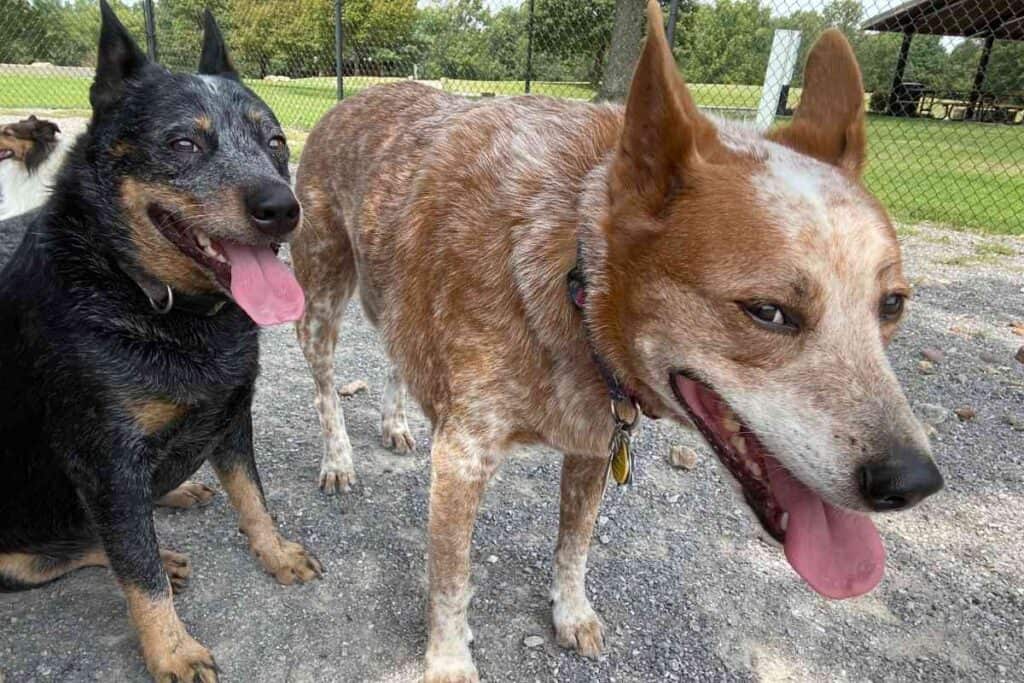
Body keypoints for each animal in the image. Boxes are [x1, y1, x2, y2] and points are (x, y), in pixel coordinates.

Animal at [0, 2, 319, 679]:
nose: (283, 207)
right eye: (182, 143)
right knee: (85, 547)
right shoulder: (107, 463)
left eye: (276, 142)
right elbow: (136, 568)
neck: (154, 301)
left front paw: (275, 552)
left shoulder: (231, 415)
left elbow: (253, 498)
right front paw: (173, 650)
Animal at [292, 2, 937, 679]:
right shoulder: (463, 459)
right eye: (769, 312)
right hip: (321, 299)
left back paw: (395, 422)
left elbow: (574, 544)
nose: (914, 482)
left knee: (395, 351)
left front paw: (571, 612)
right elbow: (451, 580)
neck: (572, 280)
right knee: (324, 384)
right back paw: (338, 459)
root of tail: (353, 98)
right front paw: (448, 661)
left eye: (892, 304)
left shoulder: (594, 444)